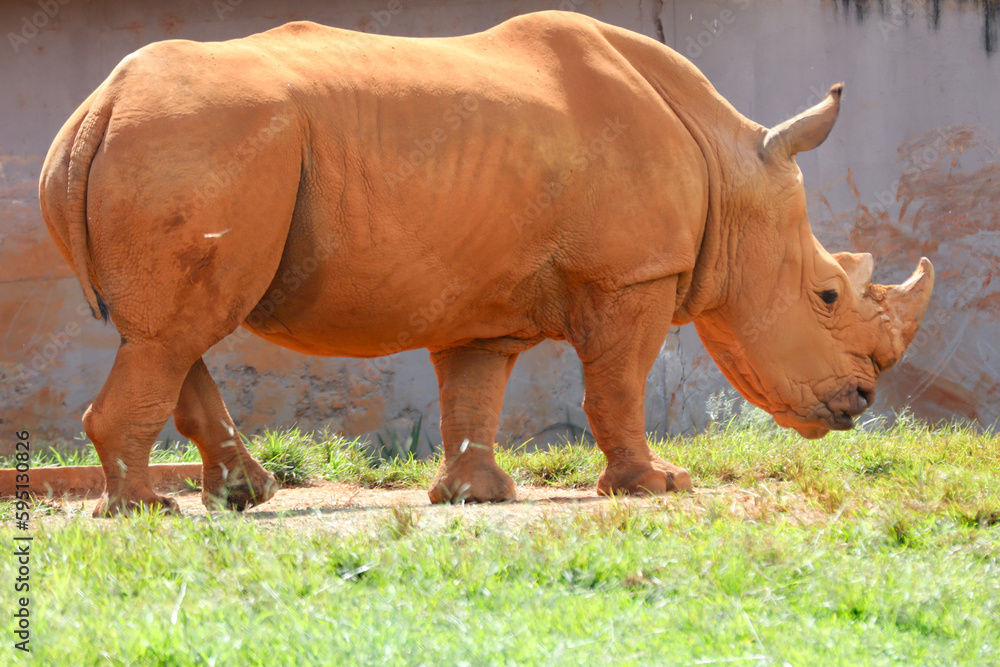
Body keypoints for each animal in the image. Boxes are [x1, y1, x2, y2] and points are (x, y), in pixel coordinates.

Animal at [40, 11, 933, 516]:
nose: (861, 401)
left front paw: (476, 496)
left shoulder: (479, 298)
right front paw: (657, 485)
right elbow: (616, 383)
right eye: (827, 294)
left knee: (169, 333)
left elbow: (473, 390)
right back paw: (146, 510)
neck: (727, 167)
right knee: (175, 333)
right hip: (198, 142)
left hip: (179, 146)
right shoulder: (631, 276)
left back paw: (239, 498)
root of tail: (97, 106)